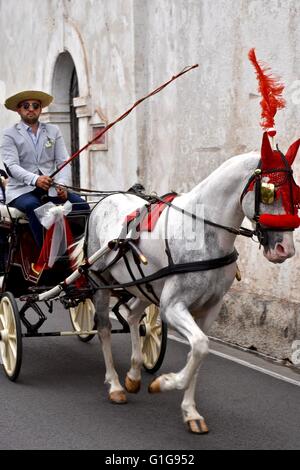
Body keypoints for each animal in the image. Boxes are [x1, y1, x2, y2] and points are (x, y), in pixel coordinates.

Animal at [73, 132, 300, 434]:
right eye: (269, 191)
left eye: (296, 190)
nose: (285, 249)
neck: (203, 232)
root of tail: (104, 201)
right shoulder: (172, 307)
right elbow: (200, 347)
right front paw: (164, 383)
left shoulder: (209, 309)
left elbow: (199, 352)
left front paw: (190, 411)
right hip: (101, 284)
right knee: (105, 329)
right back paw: (115, 385)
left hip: (145, 286)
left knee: (131, 315)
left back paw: (133, 374)